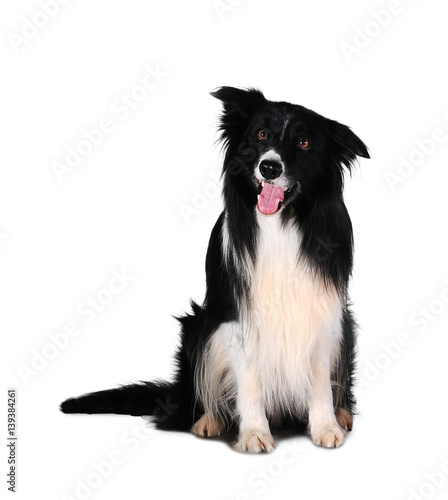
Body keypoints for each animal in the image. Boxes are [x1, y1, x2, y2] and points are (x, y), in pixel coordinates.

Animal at [61, 87, 370, 454]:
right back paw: (210, 419)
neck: (281, 222)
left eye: (305, 142)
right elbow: (249, 379)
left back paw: (342, 414)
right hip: (198, 325)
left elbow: (320, 377)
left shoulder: (322, 310)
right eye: (261, 135)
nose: (269, 166)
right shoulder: (238, 316)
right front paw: (254, 433)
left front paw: (325, 425)